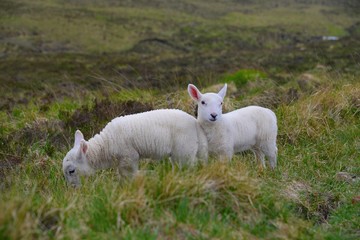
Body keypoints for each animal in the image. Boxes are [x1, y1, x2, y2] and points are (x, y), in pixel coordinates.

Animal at [62, 109, 208, 188]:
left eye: (71, 171)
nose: (73, 189)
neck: (106, 145)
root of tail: (195, 123)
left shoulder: (128, 157)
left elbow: (128, 175)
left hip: (184, 149)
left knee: (188, 167)